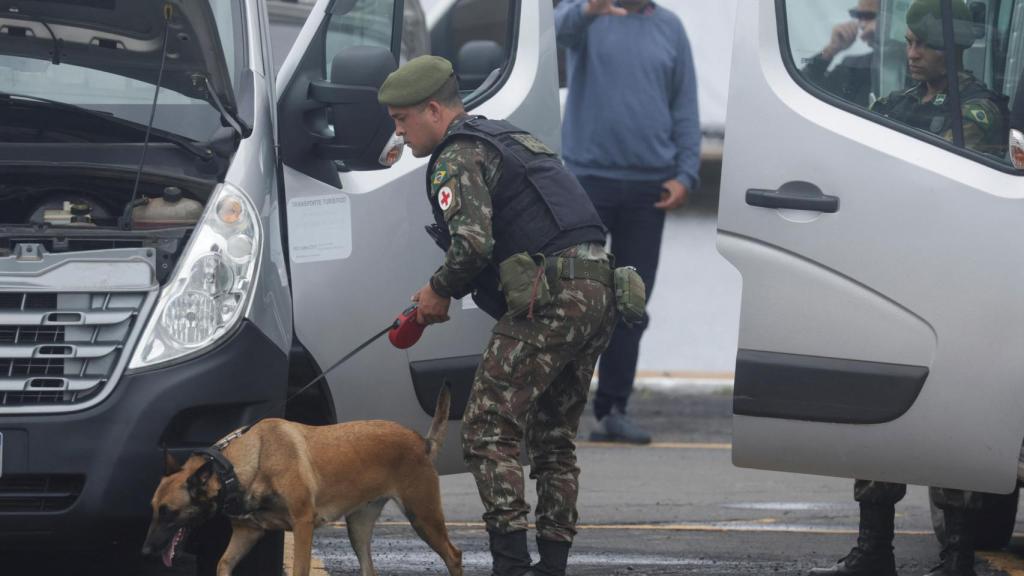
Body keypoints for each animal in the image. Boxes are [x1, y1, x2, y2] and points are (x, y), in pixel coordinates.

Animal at [142, 383, 462, 576]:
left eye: (169, 513)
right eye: (154, 511)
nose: (144, 552)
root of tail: (422, 442)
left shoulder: (303, 524)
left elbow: (299, 569)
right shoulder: (247, 533)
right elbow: (223, 563)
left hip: (423, 518)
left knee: (454, 555)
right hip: (358, 528)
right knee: (370, 568)